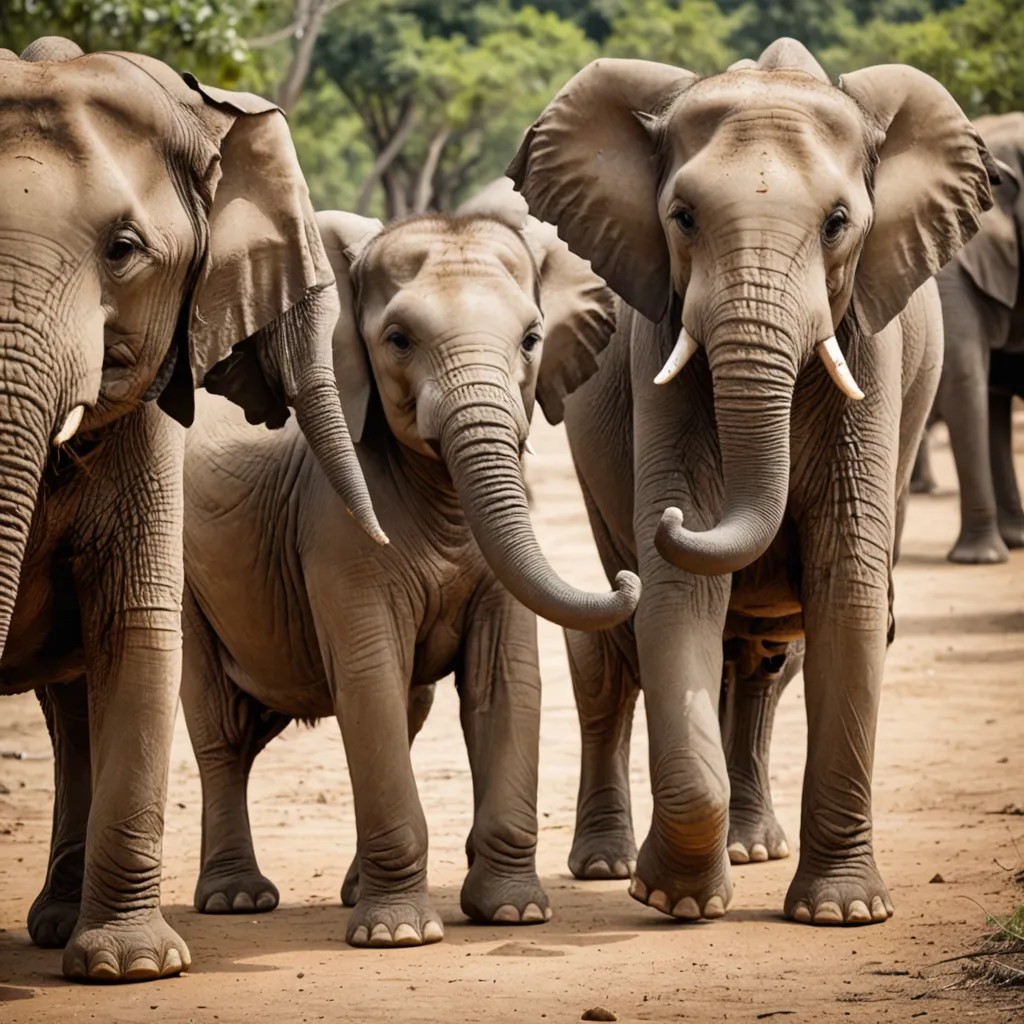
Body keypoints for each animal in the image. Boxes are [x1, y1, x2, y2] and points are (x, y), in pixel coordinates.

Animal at [0, 39, 381, 981]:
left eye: (124, 249)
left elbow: (136, 629)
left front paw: (130, 968)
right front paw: (133, 962)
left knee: (73, 706)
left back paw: (59, 926)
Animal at [179, 206, 639, 948]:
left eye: (532, 339)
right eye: (397, 340)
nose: (626, 578)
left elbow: (503, 678)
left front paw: (513, 912)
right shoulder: (334, 530)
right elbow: (370, 676)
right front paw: (397, 936)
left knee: (405, 711)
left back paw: (342, 891)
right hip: (186, 578)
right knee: (222, 730)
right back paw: (237, 900)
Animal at [509, 38, 996, 925]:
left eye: (838, 224)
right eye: (682, 218)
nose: (668, 523)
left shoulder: (868, 349)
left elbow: (847, 586)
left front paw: (840, 914)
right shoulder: (660, 342)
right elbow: (678, 599)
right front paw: (669, 898)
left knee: (767, 659)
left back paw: (752, 848)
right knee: (624, 653)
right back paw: (621, 864)